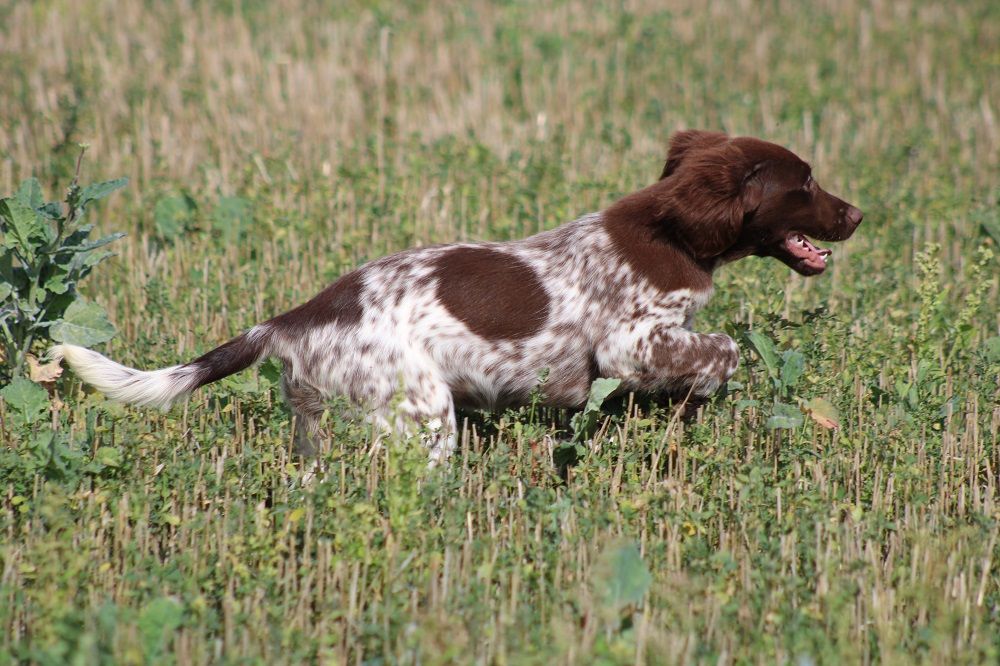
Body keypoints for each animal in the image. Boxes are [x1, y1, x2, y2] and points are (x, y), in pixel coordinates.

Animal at [52, 130, 860, 462]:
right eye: (805, 182)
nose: (857, 215)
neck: (672, 233)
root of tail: (293, 317)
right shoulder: (631, 343)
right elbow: (720, 350)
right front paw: (698, 396)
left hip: (315, 420)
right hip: (423, 414)